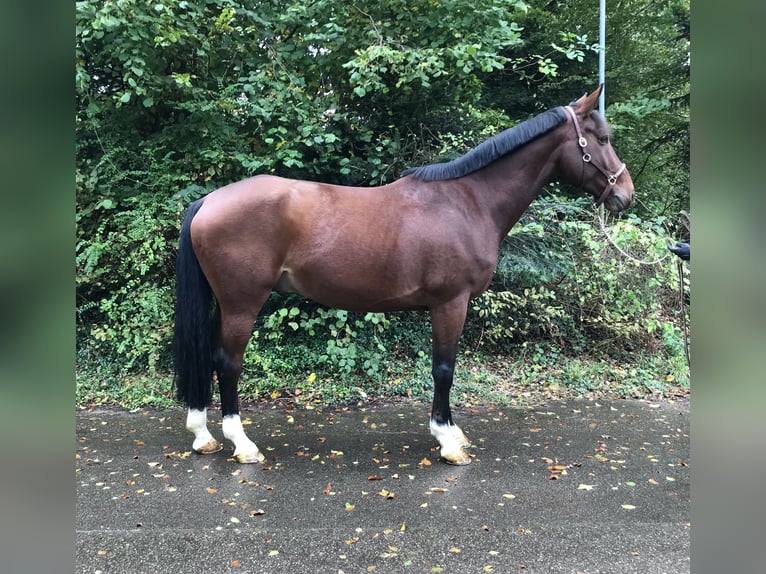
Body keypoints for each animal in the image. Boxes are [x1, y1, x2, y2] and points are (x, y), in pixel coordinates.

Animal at [174, 85, 636, 466]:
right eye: (603, 139)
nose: (625, 194)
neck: (468, 201)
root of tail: (209, 200)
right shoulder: (450, 303)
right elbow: (444, 368)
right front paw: (448, 441)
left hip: (225, 303)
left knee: (208, 355)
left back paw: (203, 435)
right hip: (243, 303)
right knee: (228, 362)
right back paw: (242, 444)